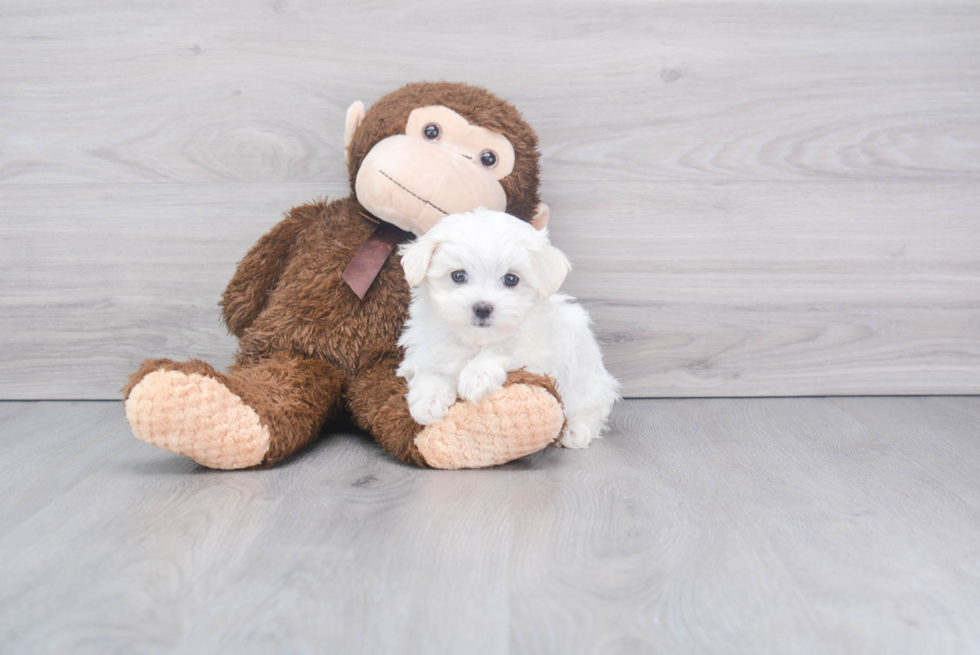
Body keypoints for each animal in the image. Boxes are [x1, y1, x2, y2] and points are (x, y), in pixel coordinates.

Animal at [394, 208, 616, 448]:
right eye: (458, 275)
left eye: (511, 279)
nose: (482, 308)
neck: (477, 339)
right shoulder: (427, 347)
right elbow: (430, 368)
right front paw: (428, 400)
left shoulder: (541, 353)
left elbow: (504, 351)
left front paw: (476, 376)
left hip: (589, 382)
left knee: (592, 408)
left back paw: (576, 430)